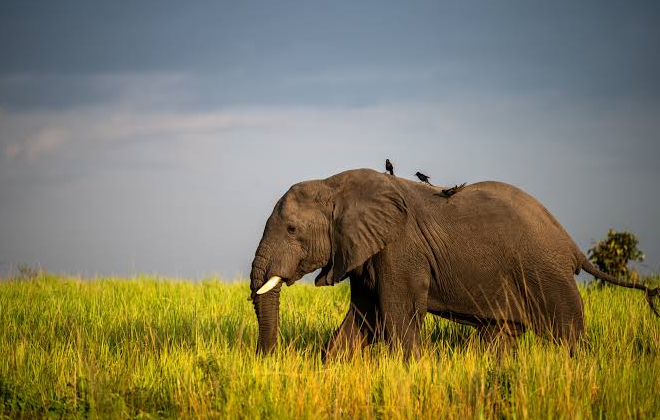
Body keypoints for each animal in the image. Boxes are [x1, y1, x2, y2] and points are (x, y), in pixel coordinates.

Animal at [249, 168, 659, 358]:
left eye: (291, 229)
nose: (268, 360)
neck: (333, 183)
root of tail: (571, 244)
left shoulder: (400, 248)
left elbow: (396, 315)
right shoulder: (363, 251)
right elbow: (362, 320)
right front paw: (330, 366)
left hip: (548, 274)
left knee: (569, 334)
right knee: (499, 334)